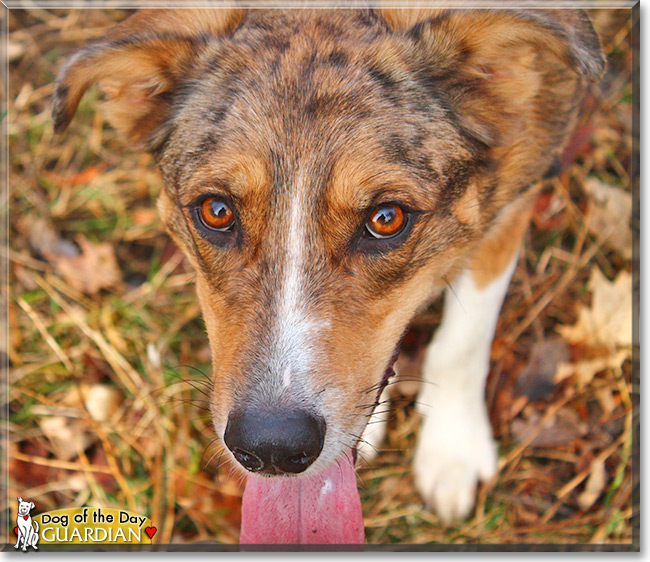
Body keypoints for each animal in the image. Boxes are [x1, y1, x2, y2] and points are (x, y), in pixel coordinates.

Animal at [53, 7, 604, 524]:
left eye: (386, 218)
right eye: (216, 210)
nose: (273, 448)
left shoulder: (515, 199)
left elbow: (463, 342)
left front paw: (452, 450)